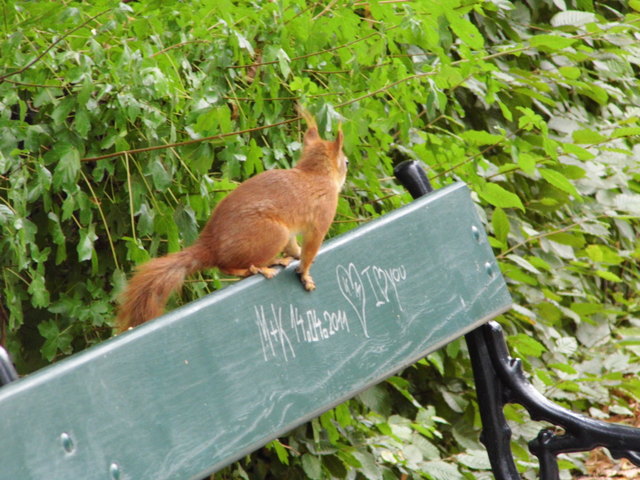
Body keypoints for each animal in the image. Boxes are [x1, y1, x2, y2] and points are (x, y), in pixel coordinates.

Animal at [115, 110, 348, 332]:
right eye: (345, 162)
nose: (348, 165)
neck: (316, 175)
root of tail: (210, 246)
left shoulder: (292, 232)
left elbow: (295, 246)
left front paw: (297, 255)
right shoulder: (322, 215)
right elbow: (311, 247)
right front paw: (305, 274)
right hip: (273, 234)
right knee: (225, 266)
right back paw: (255, 269)